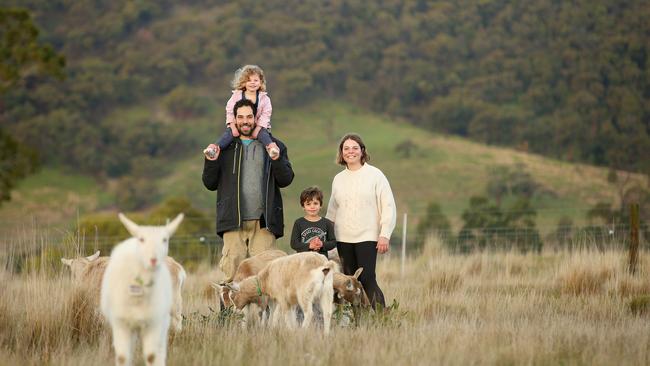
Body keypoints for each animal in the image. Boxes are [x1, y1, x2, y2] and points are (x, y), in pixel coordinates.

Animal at [100, 212, 184, 366]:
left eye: (165, 240)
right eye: (141, 239)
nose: (153, 260)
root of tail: (177, 266)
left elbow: (151, 355)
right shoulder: (121, 322)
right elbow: (123, 356)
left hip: (173, 304)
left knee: (176, 323)